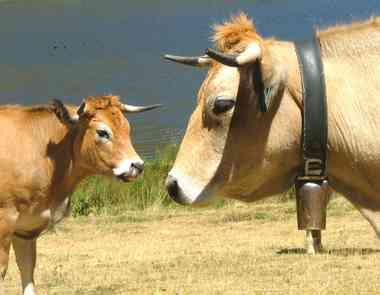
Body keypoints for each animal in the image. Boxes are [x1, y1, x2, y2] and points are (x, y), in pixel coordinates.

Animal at [0, 96, 160, 294]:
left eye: (127, 128)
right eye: (102, 132)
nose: (137, 166)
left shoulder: (27, 228)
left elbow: (27, 269)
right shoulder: (5, 222)